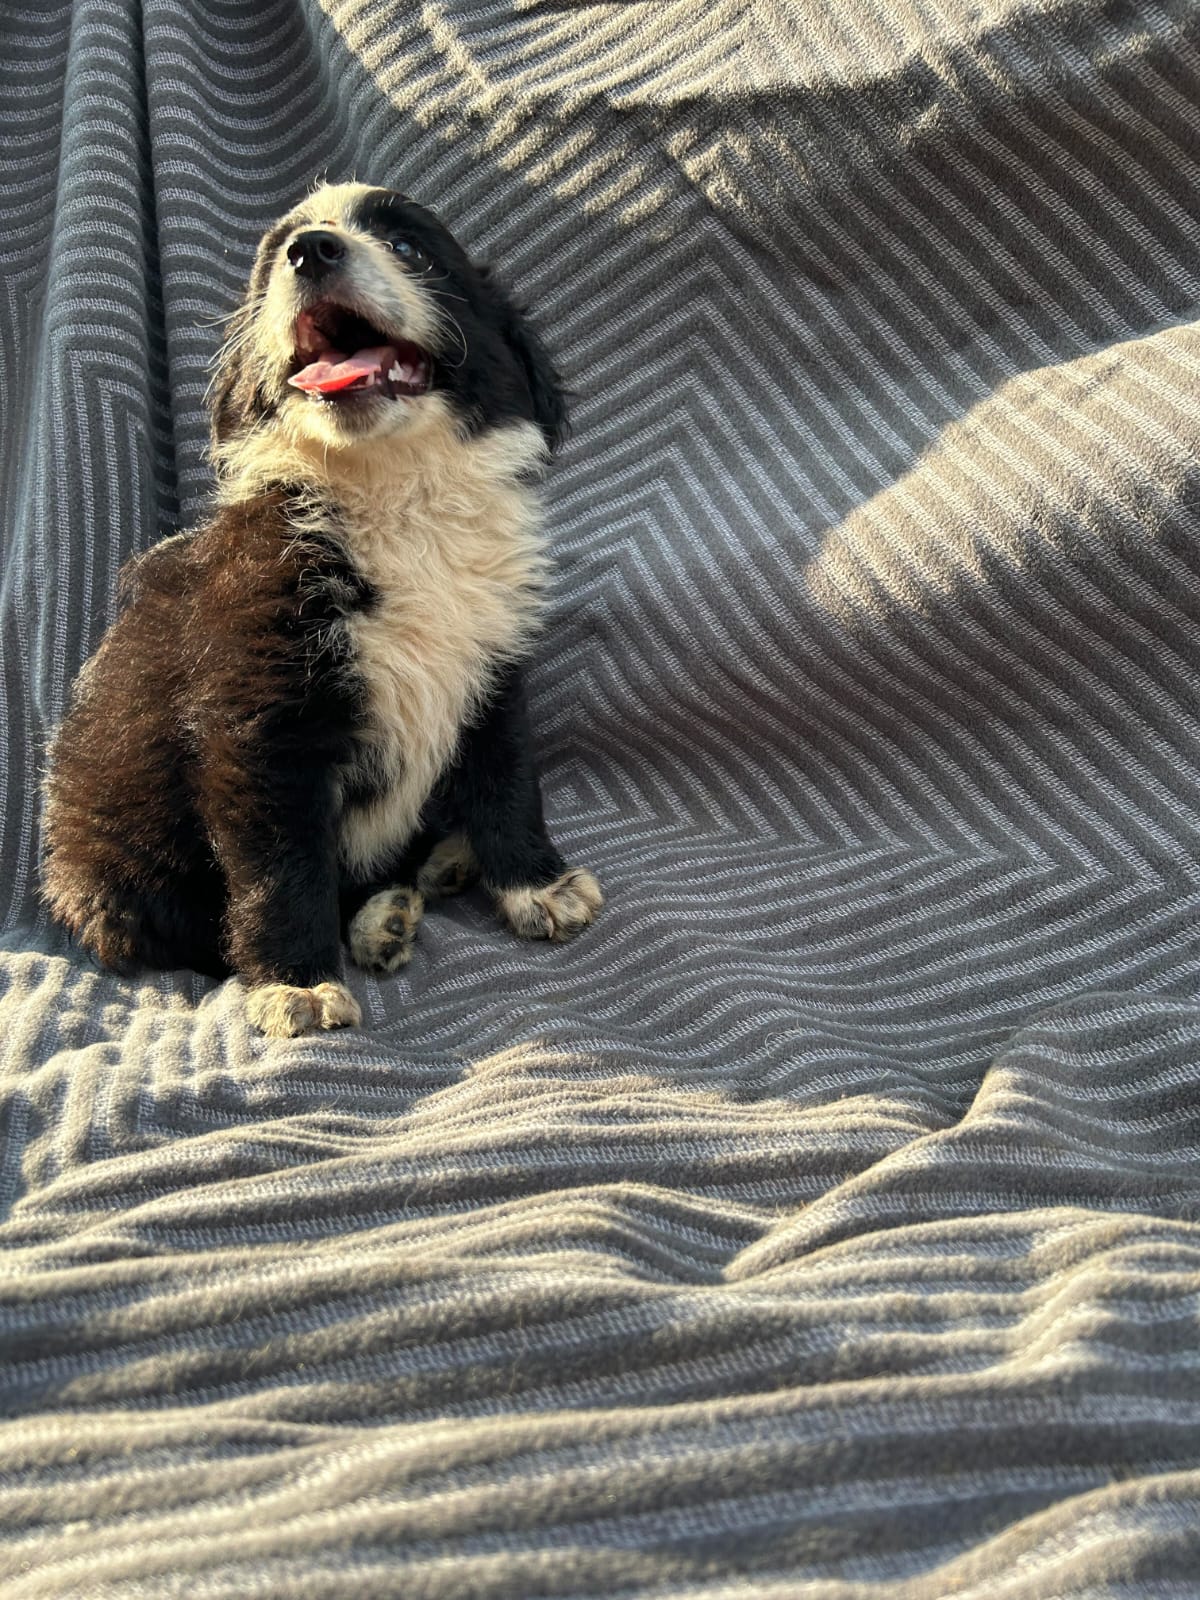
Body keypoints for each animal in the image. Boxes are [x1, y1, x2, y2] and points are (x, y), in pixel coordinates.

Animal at [40, 181, 602, 1037]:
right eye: (275, 257)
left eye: (408, 248)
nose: (311, 252)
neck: (394, 493)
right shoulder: (261, 717)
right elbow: (283, 864)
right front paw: (295, 983)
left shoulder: (493, 667)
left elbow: (509, 779)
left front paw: (537, 884)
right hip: (107, 872)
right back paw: (378, 919)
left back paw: (435, 871)